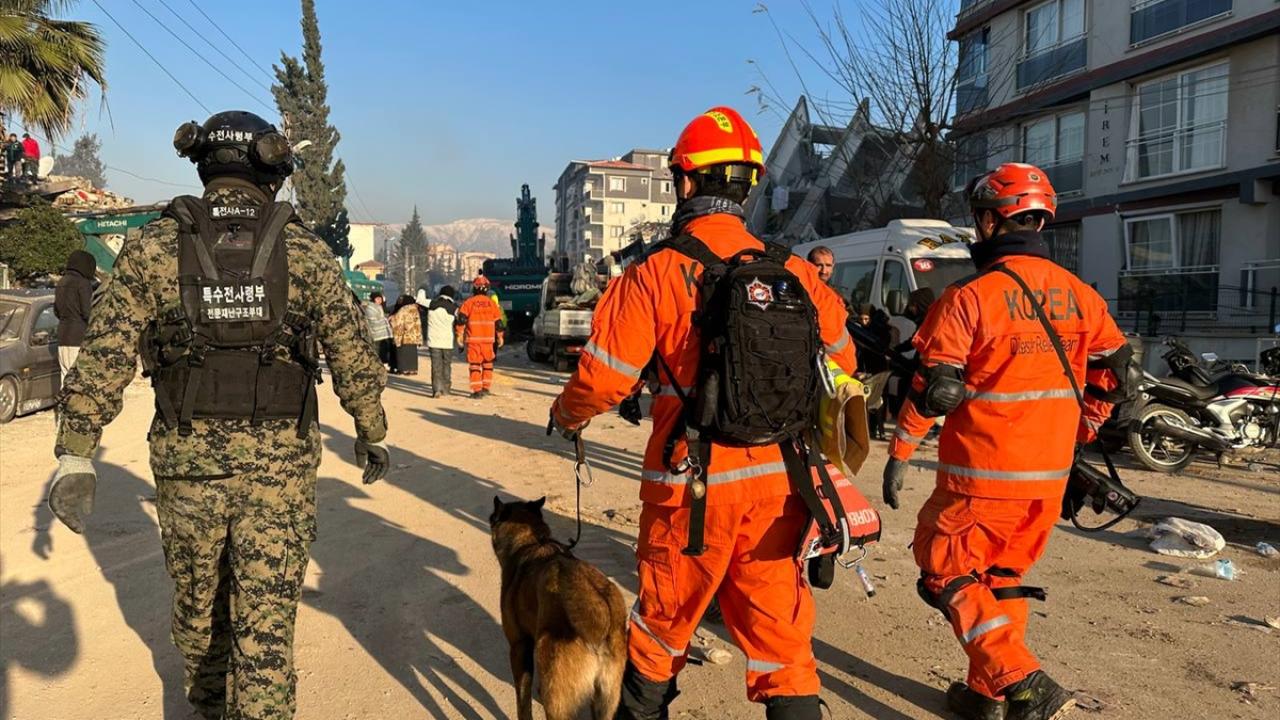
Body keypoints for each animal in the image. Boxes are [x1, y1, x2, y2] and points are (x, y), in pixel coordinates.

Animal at [490, 496, 627, 720]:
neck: (531, 542)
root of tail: (600, 619)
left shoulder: (519, 647)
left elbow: (523, 703)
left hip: (554, 694)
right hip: (606, 700)